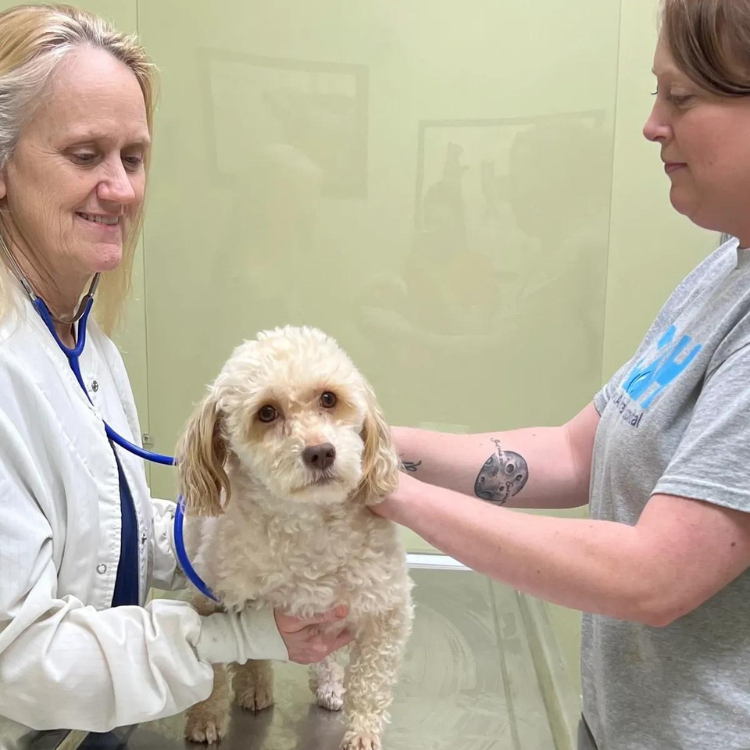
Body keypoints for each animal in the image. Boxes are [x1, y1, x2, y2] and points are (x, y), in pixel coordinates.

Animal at [176, 328, 414, 750]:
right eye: (266, 412)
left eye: (329, 399)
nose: (320, 452)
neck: (306, 527)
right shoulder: (207, 599)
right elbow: (213, 671)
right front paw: (204, 717)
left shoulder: (386, 610)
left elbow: (370, 682)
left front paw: (363, 731)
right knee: (251, 653)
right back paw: (255, 686)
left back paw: (328, 684)